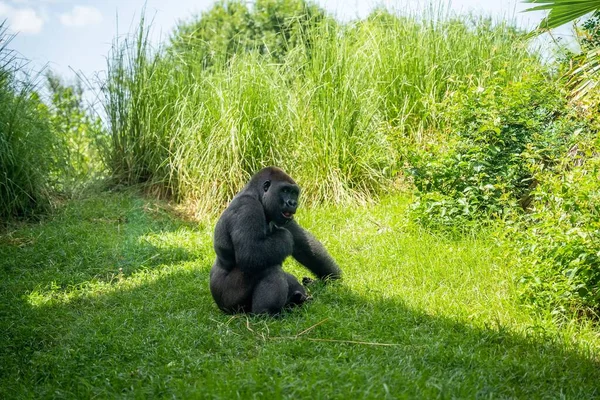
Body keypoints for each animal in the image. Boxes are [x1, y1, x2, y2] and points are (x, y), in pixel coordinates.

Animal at [211, 166, 342, 316]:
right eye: (284, 190)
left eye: (294, 193)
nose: (292, 203)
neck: (257, 195)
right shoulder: (247, 208)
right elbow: (250, 254)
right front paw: (285, 237)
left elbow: (303, 245)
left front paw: (332, 279)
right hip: (228, 303)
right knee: (269, 268)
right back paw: (267, 313)